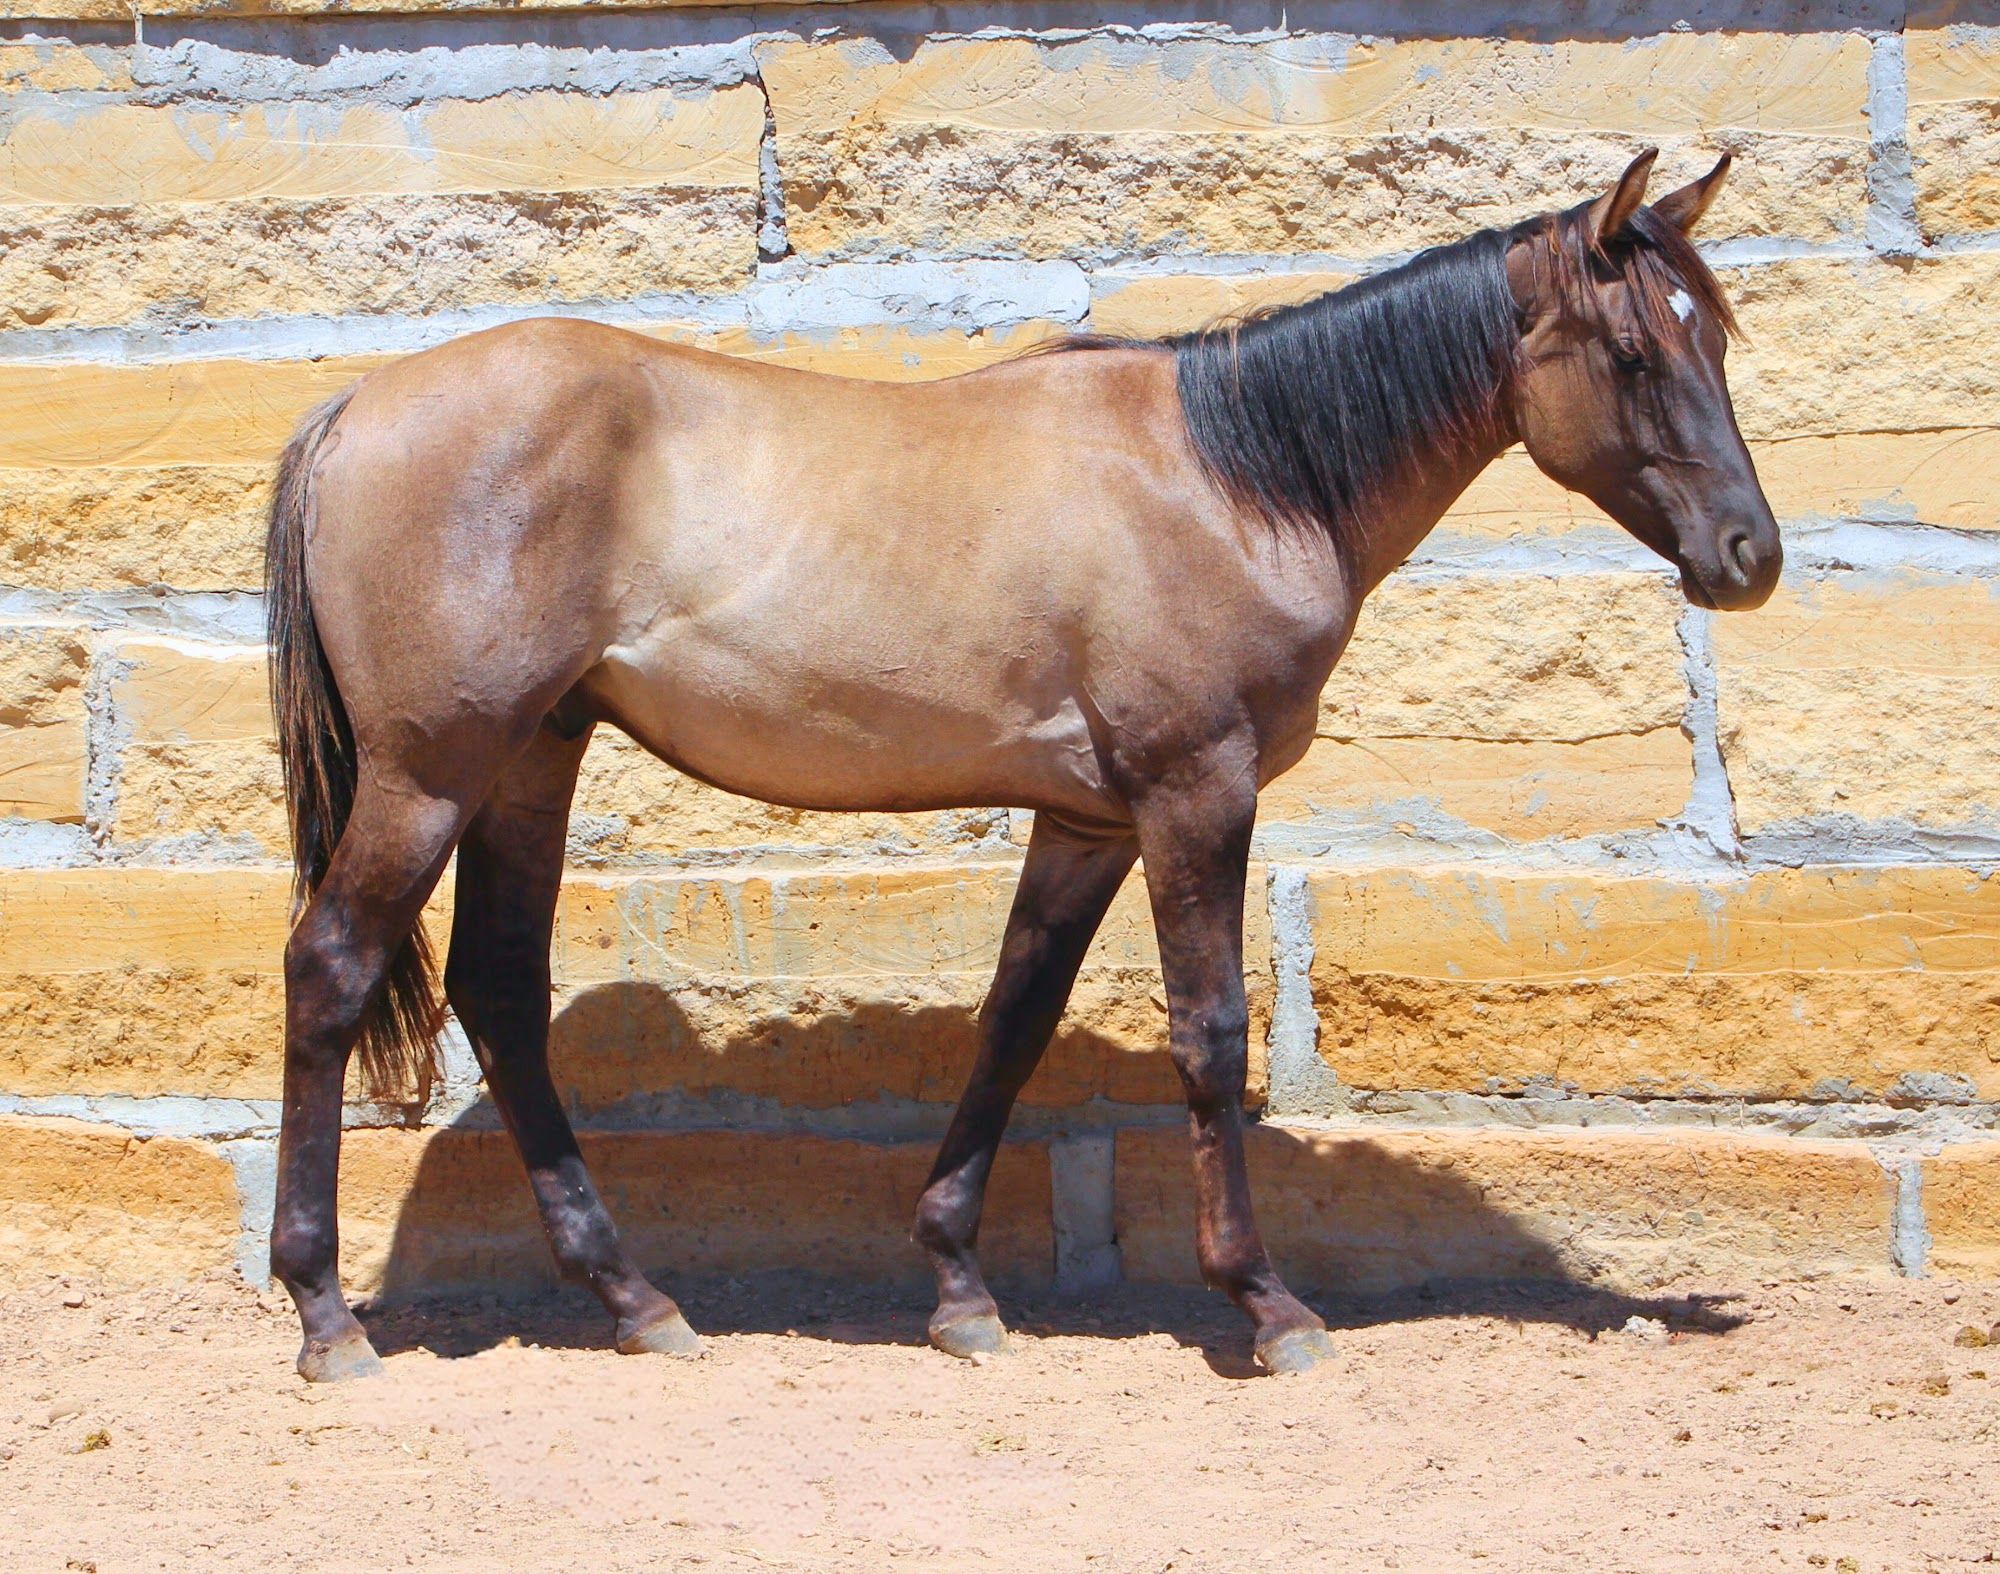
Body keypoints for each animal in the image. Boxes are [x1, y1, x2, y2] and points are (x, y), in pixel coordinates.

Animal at [262, 148, 1779, 1382]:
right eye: (1635, 353)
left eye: (1714, 337)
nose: (1749, 556)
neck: (1239, 478)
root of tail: (355, 408)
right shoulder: (1192, 789)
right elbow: (1208, 1032)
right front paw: (1267, 1305)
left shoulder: (1088, 820)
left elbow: (1014, 1017)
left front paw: (957, 1287)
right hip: (432, 772)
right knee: (331, 966)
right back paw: (327, 1315)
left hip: (531, 755)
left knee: (499, 991)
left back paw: (637, 1300)